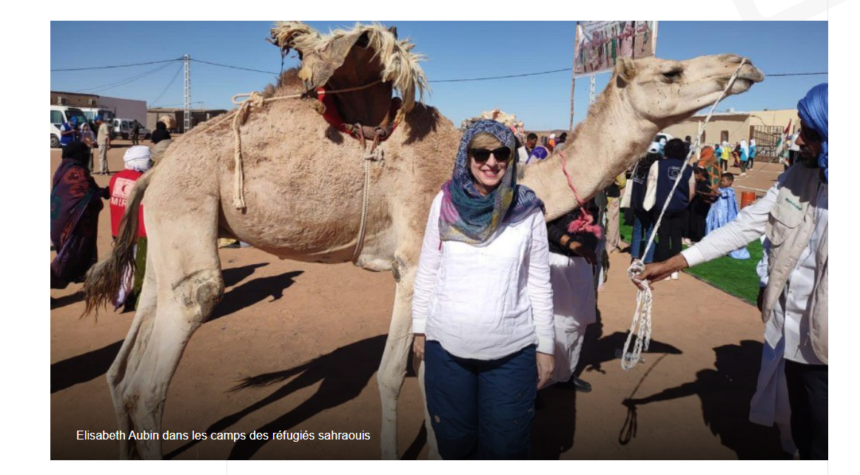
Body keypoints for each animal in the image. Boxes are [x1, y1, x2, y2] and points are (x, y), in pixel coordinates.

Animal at [82, 19, 764, 462]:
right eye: (670, 70)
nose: (745, 63)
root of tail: (156, 167)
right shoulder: (415, 262)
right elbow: (395, 376)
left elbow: (429, 366)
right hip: (190, 215)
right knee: (155, 370)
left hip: (170, 234)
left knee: (123, 362)